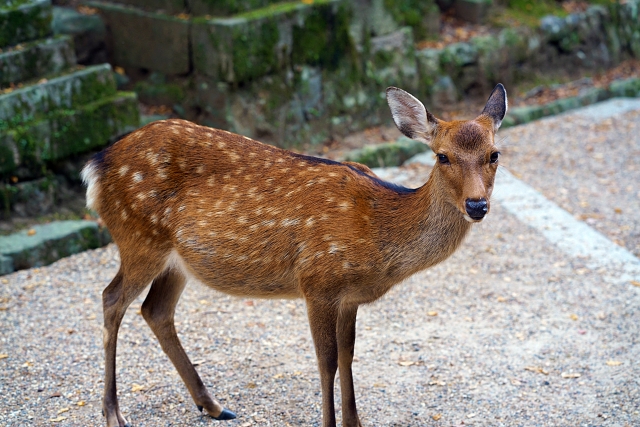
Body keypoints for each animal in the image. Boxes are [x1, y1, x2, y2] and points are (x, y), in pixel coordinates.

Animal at [81, 83, 507, 427]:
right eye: (442, 156)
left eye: (494, 154)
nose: (476, 205)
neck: (377, 232)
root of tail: (96, 166)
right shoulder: (318, 281)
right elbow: (327, 362)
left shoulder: (349, 297)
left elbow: (349, 355)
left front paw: (355, 422)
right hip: (139, 238)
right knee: (111, 298)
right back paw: (113, 414)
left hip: (176, 259)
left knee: (155, 310)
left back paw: (214, 406)